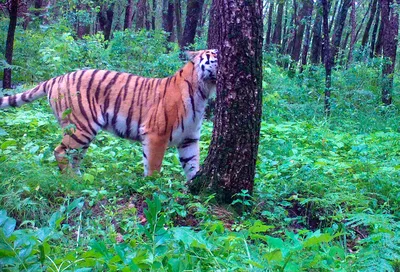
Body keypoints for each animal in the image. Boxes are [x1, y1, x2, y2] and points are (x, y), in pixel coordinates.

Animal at [0, 49, 219, 181]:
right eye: (217, 55)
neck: (203, 91)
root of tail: (56, 78)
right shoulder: (156, 134)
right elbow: (153, 166)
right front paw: (152, 189)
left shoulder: (189, 139)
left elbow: (192, 165)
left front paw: (192, 191)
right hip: (81, 127)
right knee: (60, 151)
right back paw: (70, 179)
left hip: (83, 134)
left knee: (75, 156)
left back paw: (79, 179)